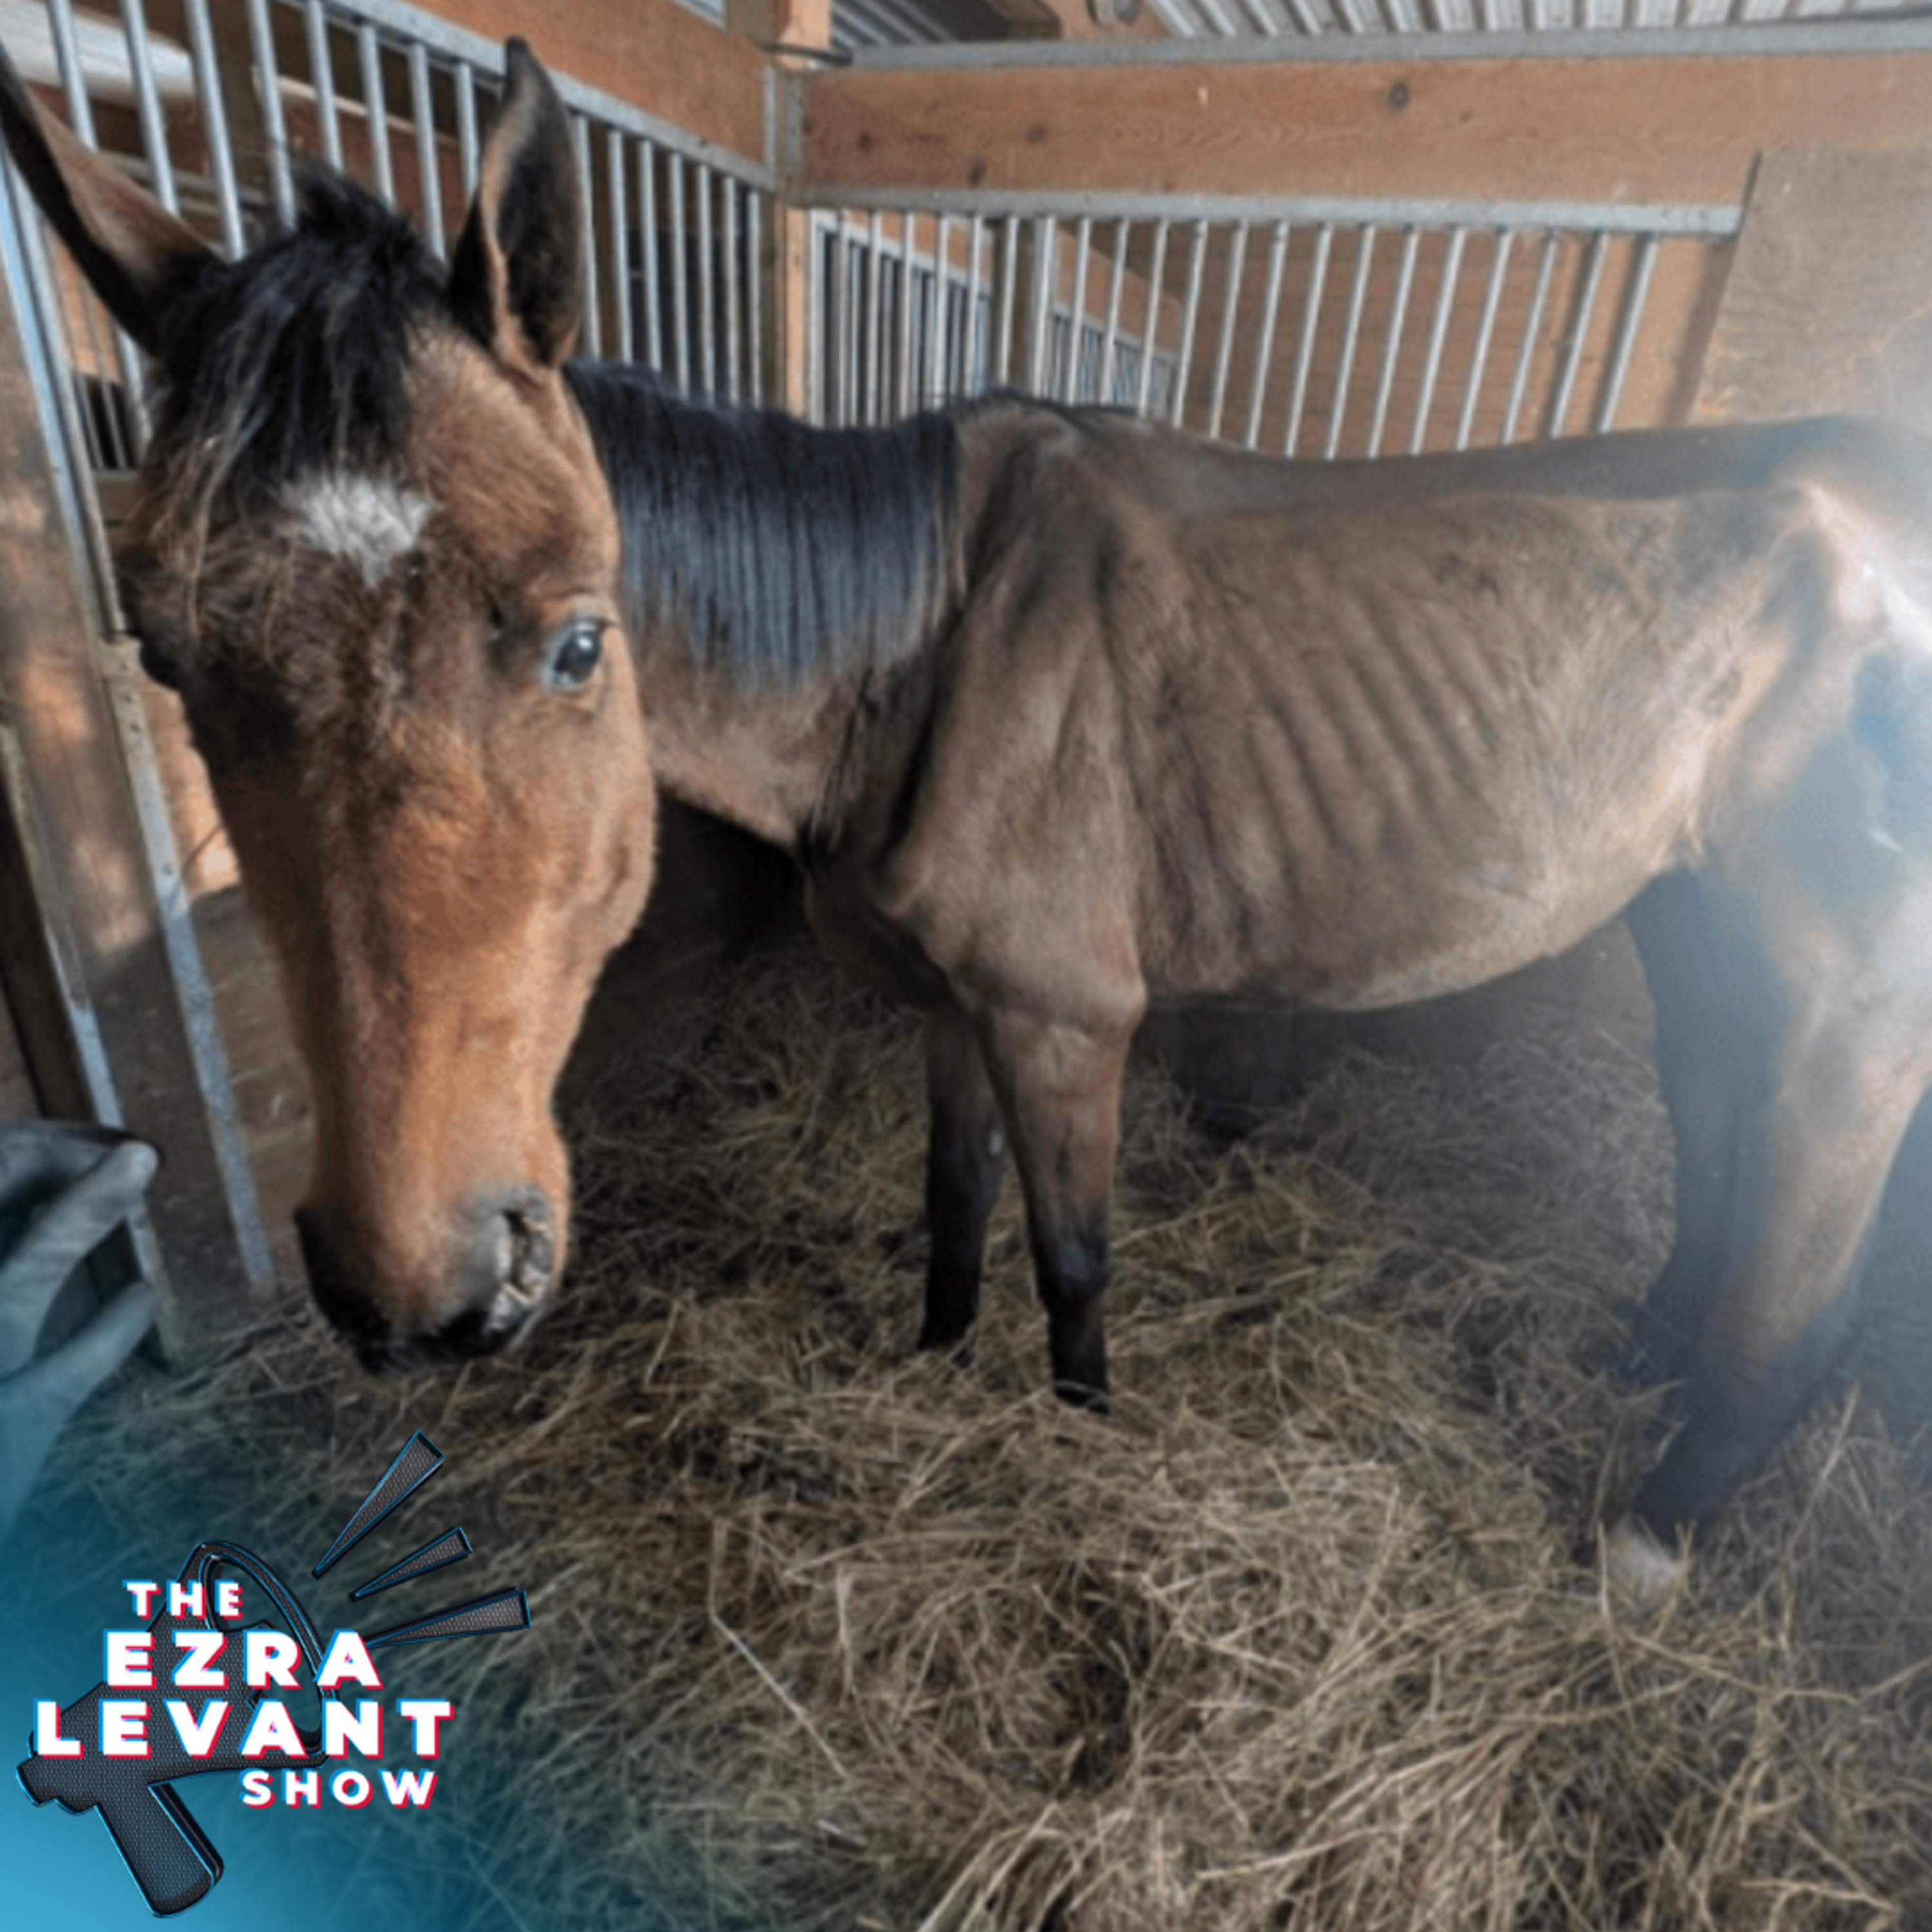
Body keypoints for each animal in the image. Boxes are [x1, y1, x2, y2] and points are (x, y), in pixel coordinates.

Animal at [6, 40, 1931, 1599]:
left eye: (577, 639)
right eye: (166, 657)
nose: (419, 1285)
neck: (928, 639)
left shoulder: (1067, 1024)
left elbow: (1073, 1259)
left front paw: (1077, 1437)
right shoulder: (953, 1008)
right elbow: (951, 1204)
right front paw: (934, 1368)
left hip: (1850, 1022)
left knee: (1800, 1281)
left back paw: (1653, 1539)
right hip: (1695, 935)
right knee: (1719, 1147)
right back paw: (1643, 1358)